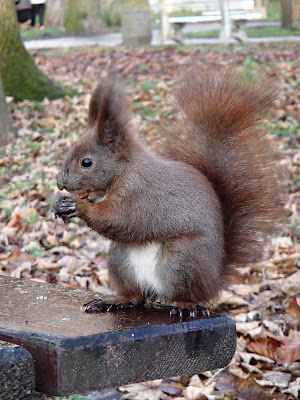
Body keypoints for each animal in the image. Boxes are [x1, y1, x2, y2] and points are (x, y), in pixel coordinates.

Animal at [54, 69, 284, 318]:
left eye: (87, 162)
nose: (60, 183)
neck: (123, 170)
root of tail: (215, 279)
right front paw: (61, 205)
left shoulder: (138, 193)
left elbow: (119, 219)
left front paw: (77, 206)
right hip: (120, 260)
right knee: (136, 296)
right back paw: (114, 301)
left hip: (182, 259)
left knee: (192, 295)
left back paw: (185, 305)